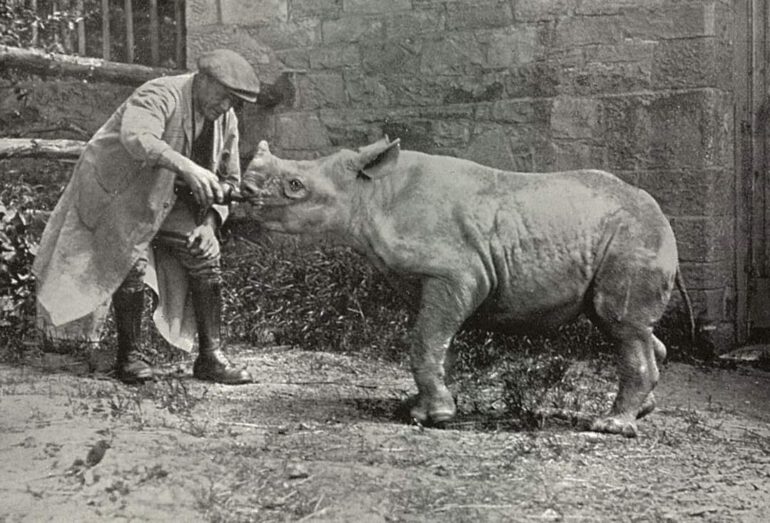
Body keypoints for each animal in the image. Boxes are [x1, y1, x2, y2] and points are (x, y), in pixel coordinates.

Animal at [240, 137, 692, 437]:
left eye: (295, 186)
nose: (243, 192)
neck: (371, 192)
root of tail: (661, 214)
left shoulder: (455, 273)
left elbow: (425, 342)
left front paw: (438, 417)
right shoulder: (426, 280)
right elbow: (433, 342)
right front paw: (420, 409)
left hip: (634, 235)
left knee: (622, 326)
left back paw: (611, 426)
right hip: (624, 238)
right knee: (620, 325)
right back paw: (643, 410)